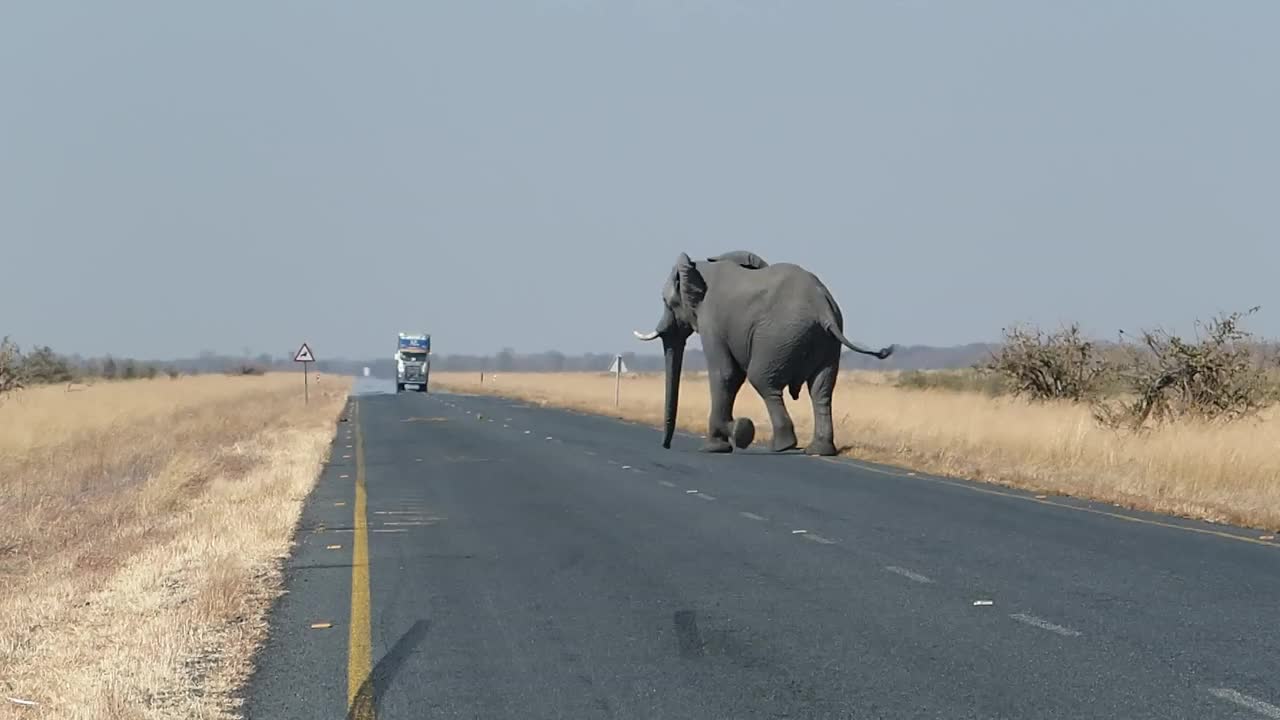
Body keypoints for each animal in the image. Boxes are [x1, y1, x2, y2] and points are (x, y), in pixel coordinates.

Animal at [627, 251, 890, 453]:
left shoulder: (711, 320)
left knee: (762, 379)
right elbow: (732, 377)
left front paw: (724, 441)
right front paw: (732, 435)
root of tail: (823, 307)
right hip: (825, 343)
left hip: (779, 336)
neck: (699, 265)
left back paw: (782, 446)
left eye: (666, 302)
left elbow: (725, 374)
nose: (666, 446)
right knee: (821, 389)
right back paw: (818, 450)